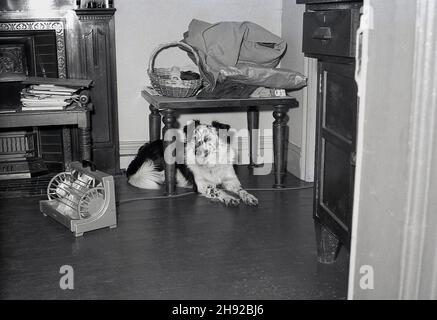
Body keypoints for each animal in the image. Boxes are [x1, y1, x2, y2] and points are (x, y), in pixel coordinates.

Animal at [124, 120, 258, 208]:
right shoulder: (202, 185)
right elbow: (217, 190)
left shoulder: (231, 181)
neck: (211, 165)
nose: (195, 151)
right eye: (194, 138)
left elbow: (241, 190)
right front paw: (229, 198)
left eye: (207, 139)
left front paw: (249, 197)